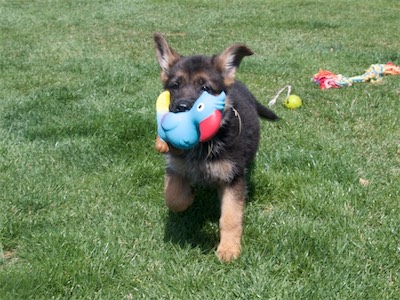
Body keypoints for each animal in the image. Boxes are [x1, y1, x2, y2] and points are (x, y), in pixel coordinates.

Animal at [153, 32, 278, 262]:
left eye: (205, 88)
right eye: (175, 86)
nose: (181, 108)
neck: (202, 146)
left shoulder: (233, 179)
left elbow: (230, 217)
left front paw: (228, 249)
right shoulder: (176, 169)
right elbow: (173, 198)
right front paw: (189, 196)